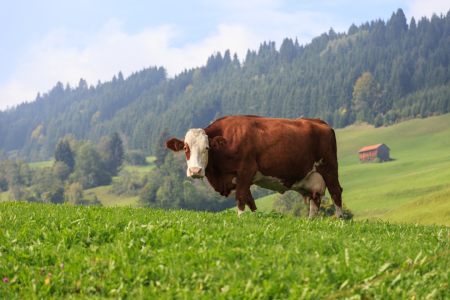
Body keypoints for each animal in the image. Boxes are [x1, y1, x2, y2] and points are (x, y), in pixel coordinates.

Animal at [165, 115, 344, 218]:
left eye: (207, 148)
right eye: (186, 148)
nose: (195, 171)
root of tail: (318, 121)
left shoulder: (246, 170)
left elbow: (241, 198)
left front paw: (241, 220)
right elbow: (251, 202)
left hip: (329, 167)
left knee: (336, 193)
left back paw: (340, 221)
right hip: (313, 177)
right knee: (315, 202)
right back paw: (309, 223)